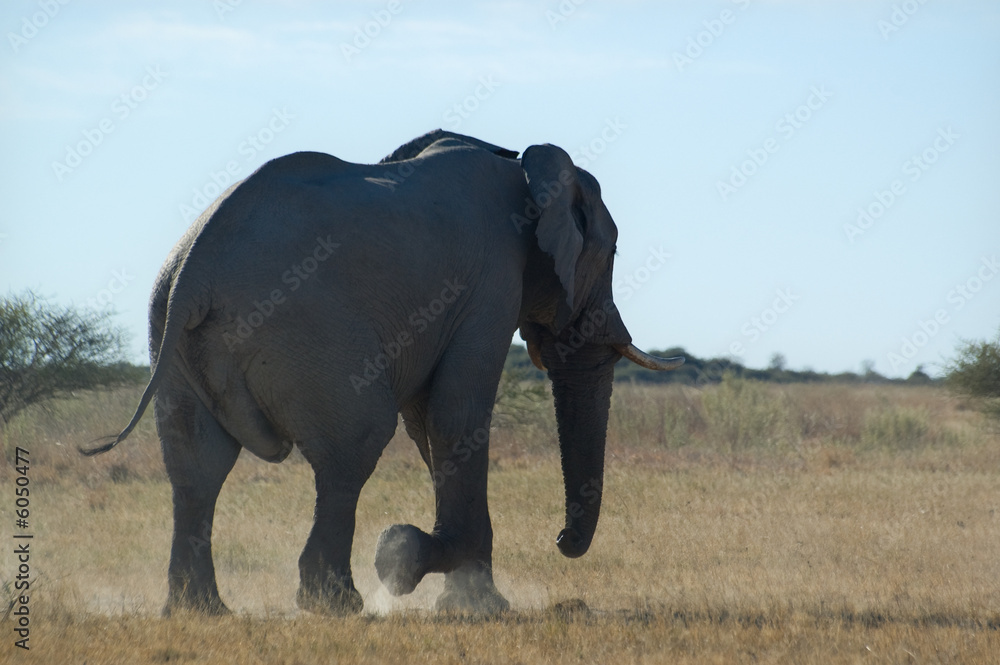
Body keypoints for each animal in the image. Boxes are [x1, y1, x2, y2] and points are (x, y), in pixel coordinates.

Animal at [83, 129, 683, 616]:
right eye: (612, 251)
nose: (558, 539)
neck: (524, 168)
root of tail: (194, 270)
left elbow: (427, 424)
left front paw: (457, 589)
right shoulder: (491, 280)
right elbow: (455, 415)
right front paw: (431, 575)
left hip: (172, 340)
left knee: (197, 467)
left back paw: (202, 610)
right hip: (310, 331)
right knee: (355, 444)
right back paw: (335, 604)